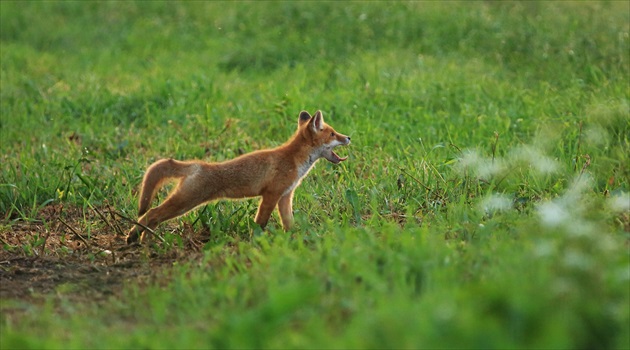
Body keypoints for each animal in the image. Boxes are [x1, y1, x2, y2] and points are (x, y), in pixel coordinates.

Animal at [123, 110, 350, 243]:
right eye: (332, 134)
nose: (348, 137)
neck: (294, 160)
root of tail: (198, 165)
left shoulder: (285, 196)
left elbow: (289, 223)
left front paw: (295, 239)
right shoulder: (271, 194)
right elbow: (260, 222)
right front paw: (257, 240)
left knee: (152, 217)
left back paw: (145, 239)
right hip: (184, 202)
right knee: (151, 213)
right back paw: (134, 237)